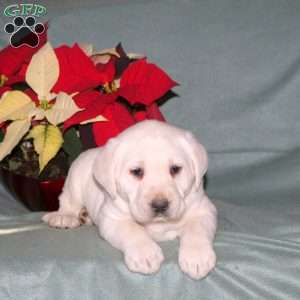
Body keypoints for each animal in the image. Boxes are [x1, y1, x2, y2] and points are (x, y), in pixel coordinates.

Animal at [42, 119, 217, 278]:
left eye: (175, 169)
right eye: (136, 171)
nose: (160, 205)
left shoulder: (204, 210)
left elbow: (196, 229)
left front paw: (197, 257)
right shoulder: (113, 218)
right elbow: (133, 230)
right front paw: (145, 255)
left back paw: (85, 216)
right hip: (75, 179)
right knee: (68, 200)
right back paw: (65, 217)